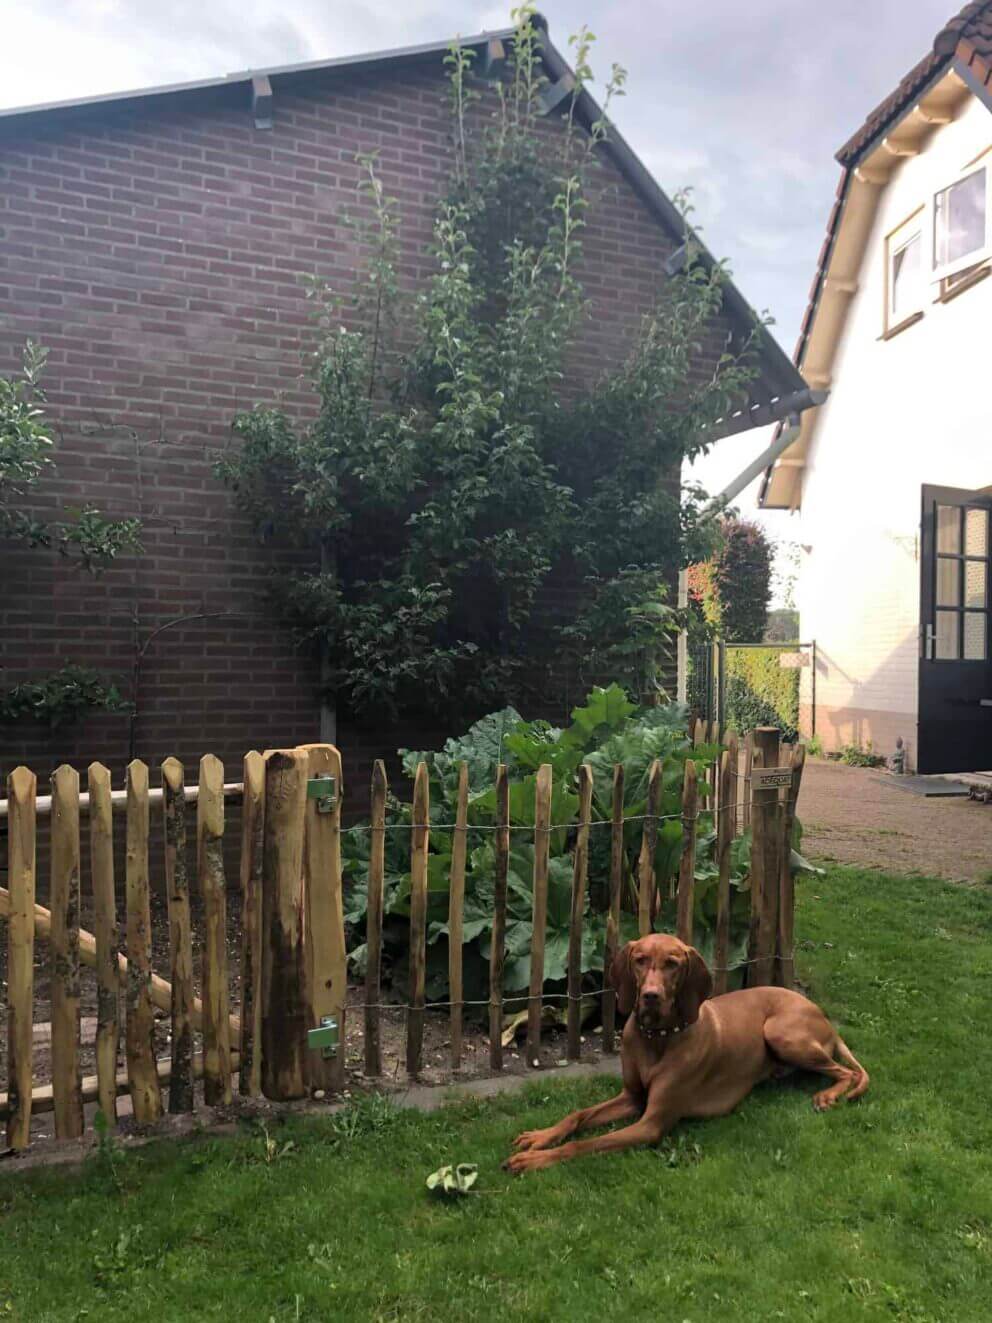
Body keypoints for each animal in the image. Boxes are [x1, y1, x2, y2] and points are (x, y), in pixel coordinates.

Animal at [507, 936, 867, 1174]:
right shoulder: (631, 1097)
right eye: (640, 959)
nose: (650, 996)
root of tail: (819, 1012)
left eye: (672, 964)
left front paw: (535, 1160)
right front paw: (541, 1137)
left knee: (848, 1073)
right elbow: (577, 1115)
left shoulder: (650, 1123)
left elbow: (587, 1143)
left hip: (780, 1032)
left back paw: (828, 1095)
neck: (656, 1038)